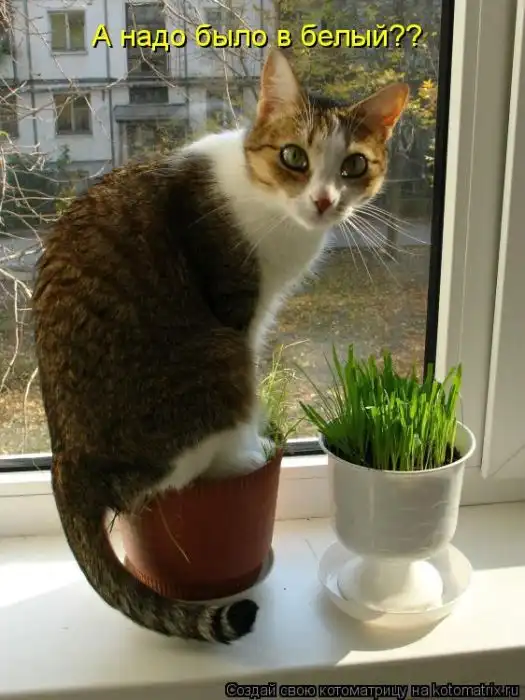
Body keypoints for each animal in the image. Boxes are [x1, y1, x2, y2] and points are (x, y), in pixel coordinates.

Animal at [32, 47, 408, 644]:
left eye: (353, 165)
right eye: (294, 157)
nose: (324, 201)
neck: (265, 200)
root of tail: (65, 460)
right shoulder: (239, 313)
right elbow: (250, 402)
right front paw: (253, 445)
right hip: (215, 357)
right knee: (169, 477)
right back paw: (237, 459)